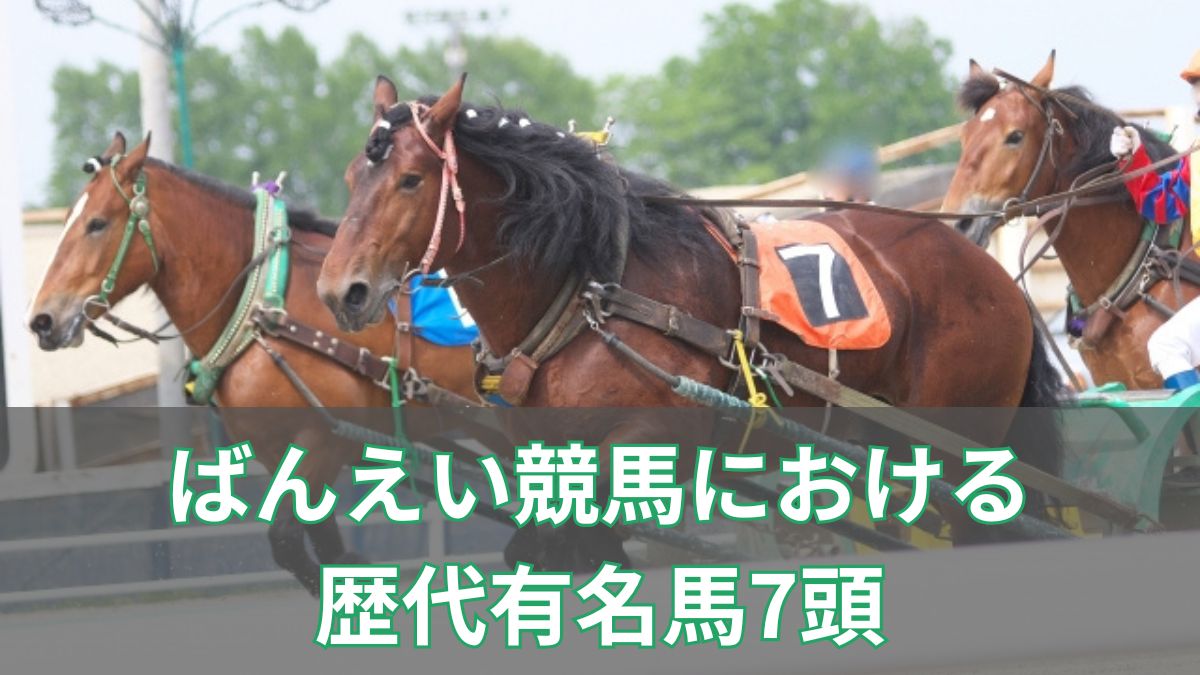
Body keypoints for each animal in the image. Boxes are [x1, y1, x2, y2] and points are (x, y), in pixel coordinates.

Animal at [28, 131, 479, 595]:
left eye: (97, 224)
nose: (43, 319)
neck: (267, 303)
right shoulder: (276, 449)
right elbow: (322, 546)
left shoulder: (323, 440)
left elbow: (287, 539)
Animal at [316, 75, 1065, 565]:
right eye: (353, 177)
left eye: (411, 179)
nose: (339, 290)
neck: (592, 290)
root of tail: (989, 270)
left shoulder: (651, 441)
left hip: (960, 452)